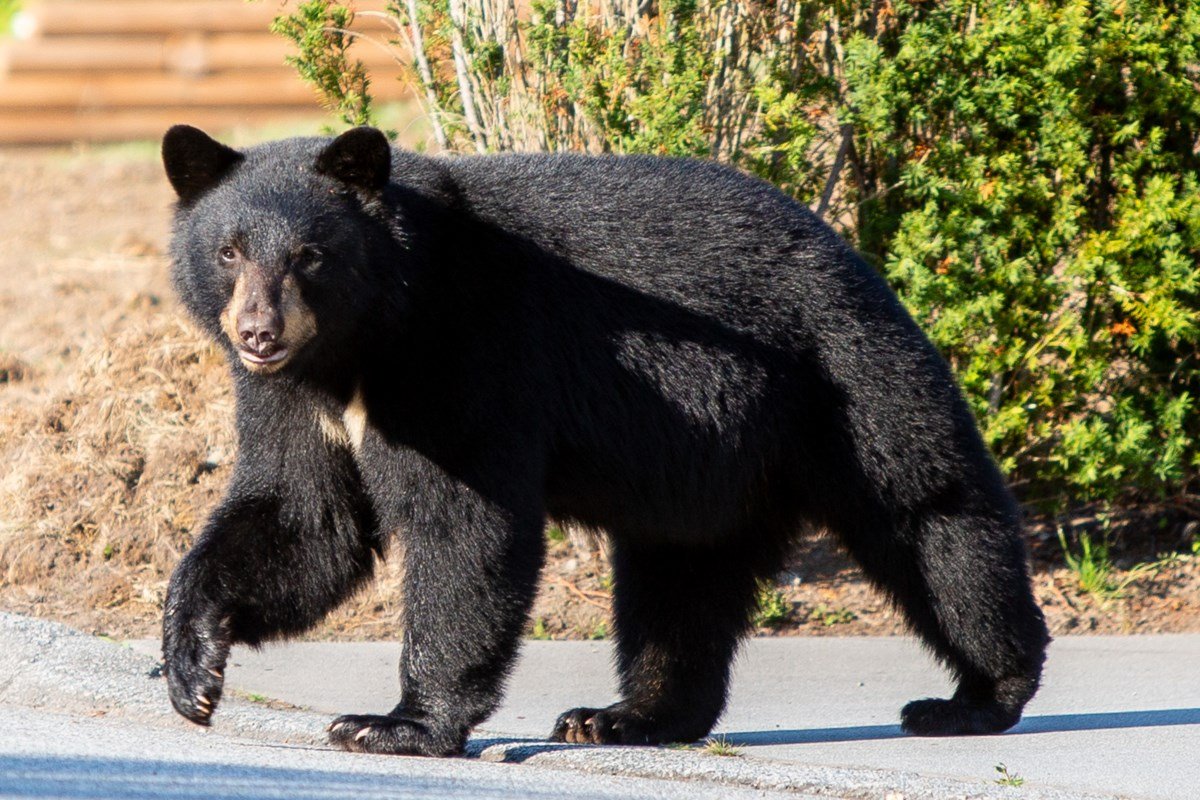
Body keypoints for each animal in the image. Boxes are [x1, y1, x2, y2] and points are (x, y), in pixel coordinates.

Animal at [160, 124, 1049, 757]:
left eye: (310, 254)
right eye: (228, 251)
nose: (258, 332)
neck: (364, 341)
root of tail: (852, 252)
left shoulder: (468, 353)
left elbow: (464, 526)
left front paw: (394, 724)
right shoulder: (290, 398)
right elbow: (304, 520)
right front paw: (192, 669)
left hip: (846, 380)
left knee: (933, 521)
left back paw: (976, 695)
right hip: (711, 470)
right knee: (680, 582)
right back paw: (626, 716)